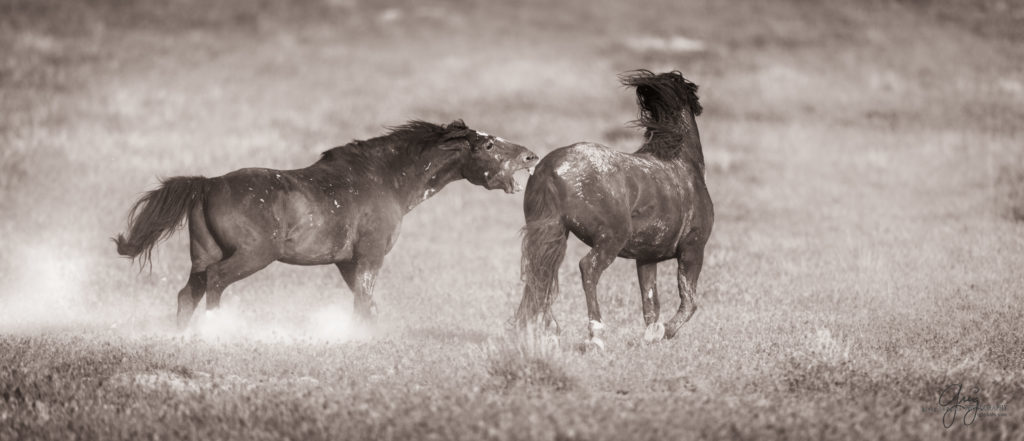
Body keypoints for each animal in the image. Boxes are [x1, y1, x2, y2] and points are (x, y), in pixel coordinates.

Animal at [116, 119, 540, 329]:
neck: (385, 179)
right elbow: (364, 302)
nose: (531, 156)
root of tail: (208, 184)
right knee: (217, 284)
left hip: (202, 258)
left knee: (187, 295)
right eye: (488, 145)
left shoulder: (346, 262)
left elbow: (367, 305)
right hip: (252, 256)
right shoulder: (369, 258)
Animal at [512, 71, 712, 347]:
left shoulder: (647, 257)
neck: (682, 164)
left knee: (540, 274)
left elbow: (651, 304)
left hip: (552, 234)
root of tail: (550, 168)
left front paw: (650, 337)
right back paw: (596, 334)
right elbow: (689, 303)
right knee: (588, 268)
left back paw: (547, 331)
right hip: (611, 239)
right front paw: (663, 332)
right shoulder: (693, 249)